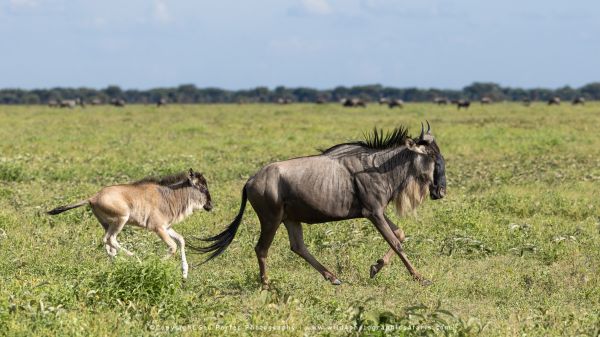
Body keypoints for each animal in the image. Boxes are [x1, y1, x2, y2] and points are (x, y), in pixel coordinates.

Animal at [48, 168, 213, 278]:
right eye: (202, 187)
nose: (210, 206)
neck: (168, 196)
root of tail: (92, 198)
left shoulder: (167, 227)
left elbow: (181, 240)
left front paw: (184, 273)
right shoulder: (157, 228)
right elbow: (172, 246)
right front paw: (154, 265)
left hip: (107, 224)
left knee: (108, 245)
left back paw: (115, 265)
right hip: (121, 218)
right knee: (110, 239)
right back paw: (136, 259)